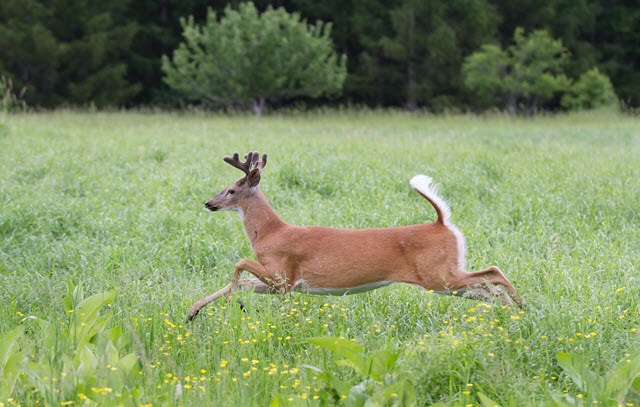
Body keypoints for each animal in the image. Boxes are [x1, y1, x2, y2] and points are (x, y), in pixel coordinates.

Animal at [185, 151, 520, 320]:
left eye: (231, 189)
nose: (209, 203)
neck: (269, 233)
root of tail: (442, 222)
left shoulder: (284, 276)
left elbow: (239, 264)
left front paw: (230, 303)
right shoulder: (280, 284)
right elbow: (241, 282)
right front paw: (193, 311)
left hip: (438, 275)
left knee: (493, 273)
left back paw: (522, 307)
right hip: (445, 279)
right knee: (485, 288)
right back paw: (512, 313)